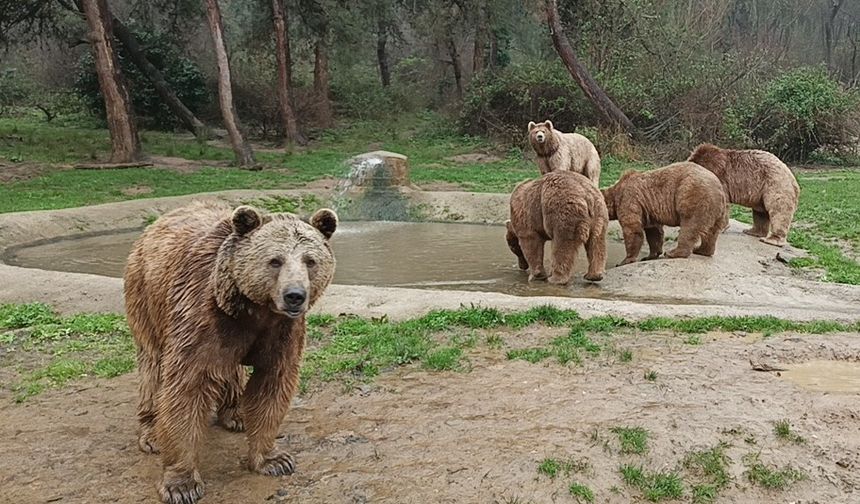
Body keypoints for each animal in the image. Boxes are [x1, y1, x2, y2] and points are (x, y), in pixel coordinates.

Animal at [125, 201, 340, 504]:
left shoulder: (282, 333)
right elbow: (185, 389)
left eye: (310, 260)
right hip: (146, 296)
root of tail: (159, 221)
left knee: (231, 370)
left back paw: (236, 414)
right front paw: (181, 484)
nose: (295, 295)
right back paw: (152, 433)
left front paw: (274, 459)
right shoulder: (200, 316)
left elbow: (272, 386)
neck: (254, 310)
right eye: (275, 260)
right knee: (153, 366)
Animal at [600, 162, 728, 266]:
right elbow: (654, 231)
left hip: (693, 195)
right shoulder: (648, 209)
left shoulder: (629, 199)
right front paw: (650, 255)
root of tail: (719, 188)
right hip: (717, 210)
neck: (615, 194)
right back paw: (701, 250)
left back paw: (673, 252)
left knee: (690, 225)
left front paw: (625, 260)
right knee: (712, 232)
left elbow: (633, 229)